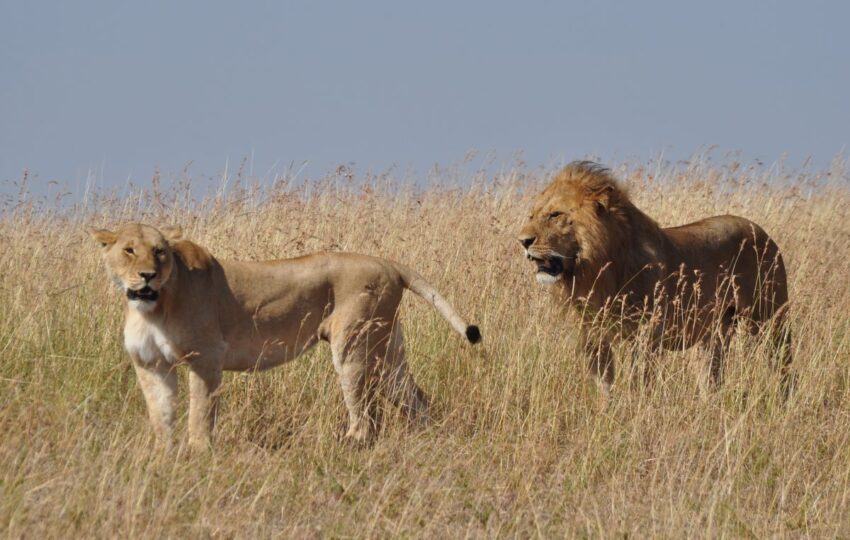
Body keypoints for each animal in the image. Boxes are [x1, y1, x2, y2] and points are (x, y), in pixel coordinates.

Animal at [90, 223, 480, 449]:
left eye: (160, 252)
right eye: (128, 249)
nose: (148, 275)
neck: (153, 307)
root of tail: (388, 263)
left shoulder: (206, 358)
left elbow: (200, 412)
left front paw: (199, 454)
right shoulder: (151, 364)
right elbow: (161, 413)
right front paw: (164, 456)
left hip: (353, 345)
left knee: (367, 415)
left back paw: (347, 447)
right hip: (387, 348)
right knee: (415, 399)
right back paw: (424, 442)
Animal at [518, 161, 792, 397]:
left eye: (555, 215)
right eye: (531, 216)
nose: (523, 241)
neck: (597, 270)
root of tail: (761, 231)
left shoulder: (647, 335)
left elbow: (639, 381)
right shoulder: (592, 335)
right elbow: (604, 383)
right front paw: (606, 412)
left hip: (770, 319)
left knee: (783, 366)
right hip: (715, 331)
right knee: (711, 376)